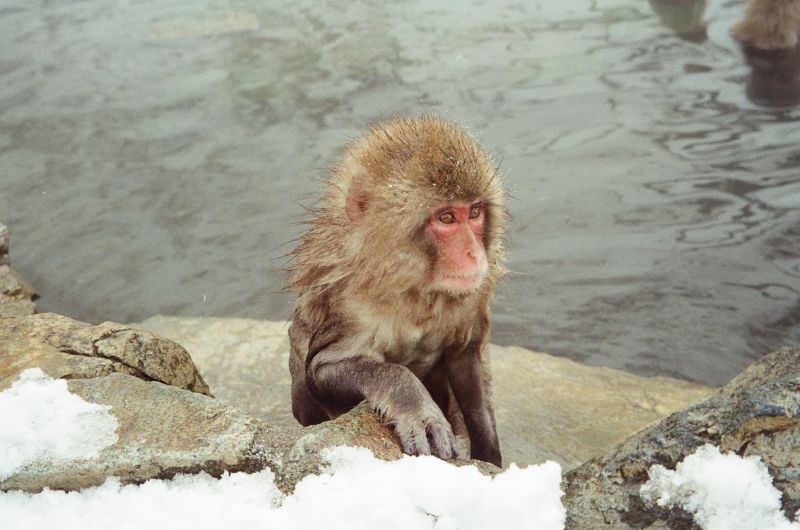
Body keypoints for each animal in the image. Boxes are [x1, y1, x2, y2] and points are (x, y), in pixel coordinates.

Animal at [287, 116, 506, 466]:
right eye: (446, 218)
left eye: (474, 212)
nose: (475, 254)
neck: (417, 288)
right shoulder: (348, 306)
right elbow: (323, 369)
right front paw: (416, 408)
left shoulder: (474, 295)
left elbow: (467, 361)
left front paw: (489, 457)